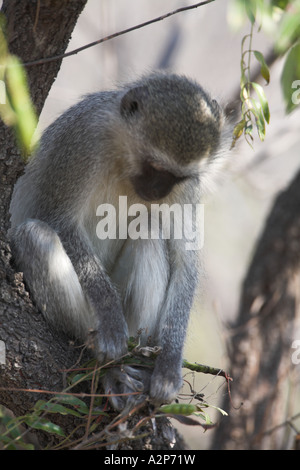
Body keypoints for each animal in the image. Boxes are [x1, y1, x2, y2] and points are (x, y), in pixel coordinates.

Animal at [9, 71, 230, 410]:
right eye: (153, 166)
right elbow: (59, 220)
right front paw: (111, 324)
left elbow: (185, 262)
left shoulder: (187, 189)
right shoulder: (84, 138)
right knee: (36, 237)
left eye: (177, 177)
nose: (156, 191)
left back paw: (140, 360)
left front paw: (169, 367)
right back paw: (107, 363)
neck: (123, 157)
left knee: (148, 230)